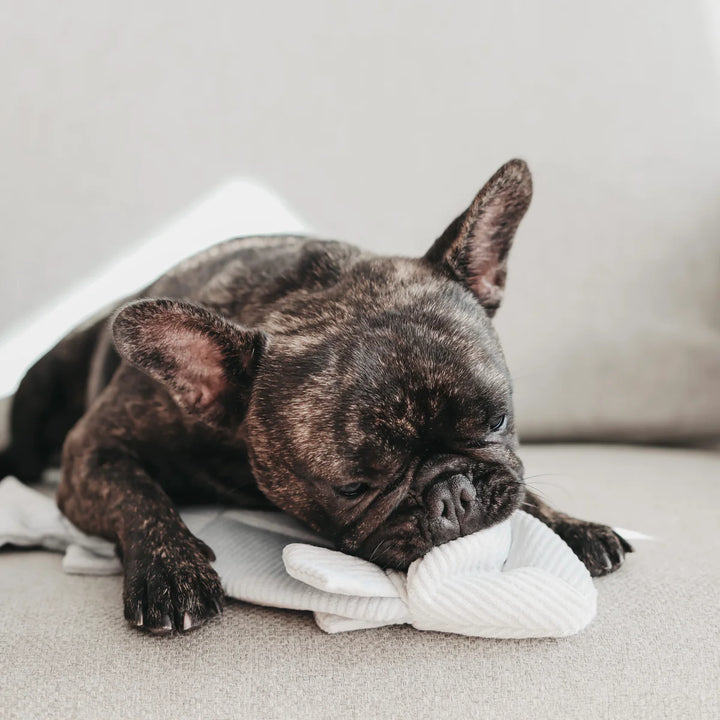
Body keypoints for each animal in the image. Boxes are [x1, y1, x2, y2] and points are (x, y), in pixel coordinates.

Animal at [0, 160, 632, 632]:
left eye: (497, 420)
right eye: (352, 487)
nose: (453, 493)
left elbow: (521, 488)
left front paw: (568, 523)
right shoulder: (93, 451)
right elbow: (138, 493)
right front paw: (170, 570)